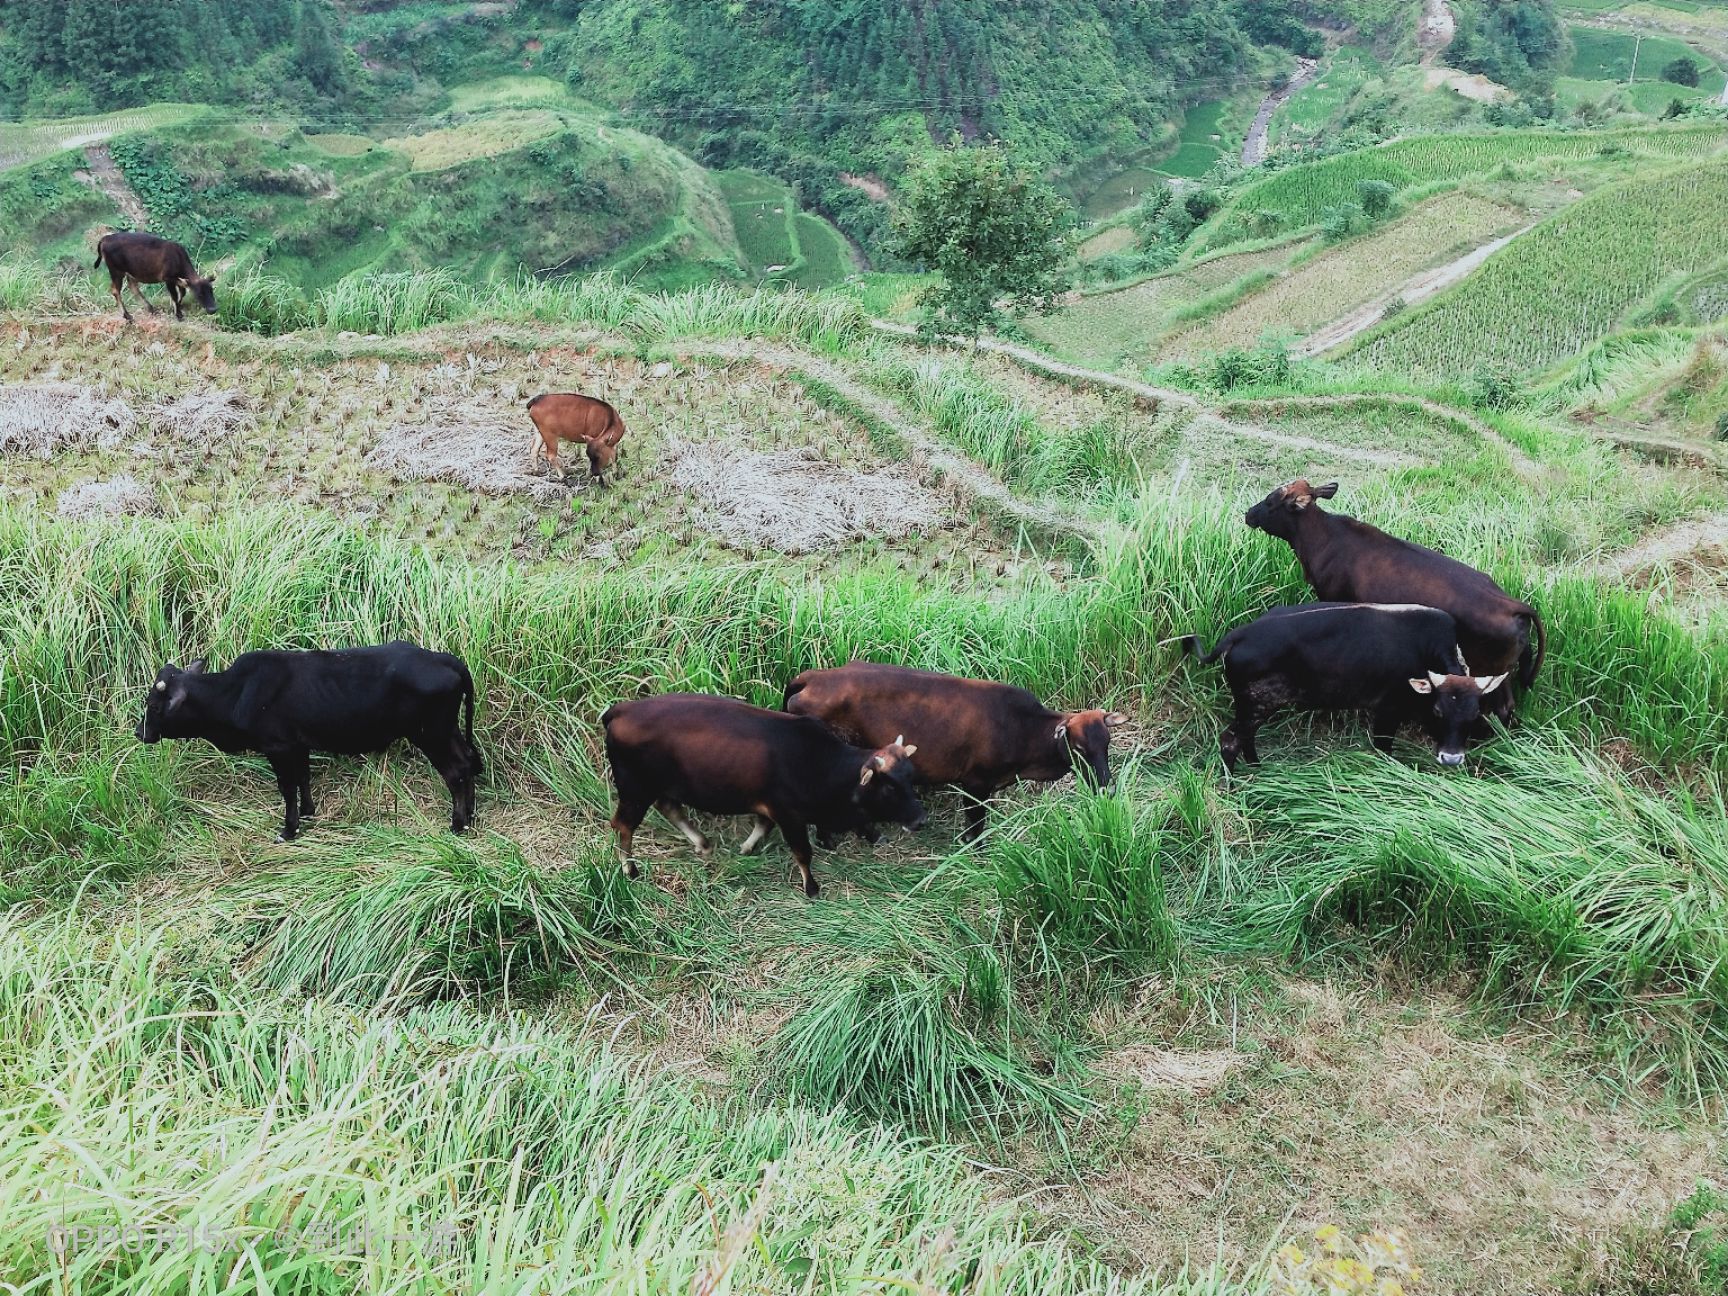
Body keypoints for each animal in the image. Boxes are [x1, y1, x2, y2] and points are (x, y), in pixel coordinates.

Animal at [132, 642, 487, 843]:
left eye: (154, 706)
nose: (139, 732)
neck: (236, 692)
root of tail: (446, 659)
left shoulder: (277, 748)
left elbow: (287, 787)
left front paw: (288, 829)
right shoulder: (298, 746)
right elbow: (303, 778)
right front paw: (307, 813)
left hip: (431, 734)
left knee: (456, 771)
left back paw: (457, 825)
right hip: (448, 731)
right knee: (470, 762)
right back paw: (470, 816)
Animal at [608, 694, 933, 898]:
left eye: (911, 777)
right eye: (889, 786)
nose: (920, 820)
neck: (819, 763)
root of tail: (621, 709)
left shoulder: (770, 807)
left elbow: (762, 827)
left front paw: (746, 848)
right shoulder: (789, 815)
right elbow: (802, 852)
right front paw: (811, 888)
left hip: (659, 787)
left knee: (670, 807)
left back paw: (702, 843)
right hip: (634, 790)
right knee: (623, 825)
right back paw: (630, 869)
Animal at [784, 663, 1133, 846]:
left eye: (1107, 744)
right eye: (1079, 749)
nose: (1107, 788)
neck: (1022, 728)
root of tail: (813, 676)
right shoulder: (975, 782)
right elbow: (976, 826)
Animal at [1181, 601, 1506, 770]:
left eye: (1475, 713)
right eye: (1438, 710)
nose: (1451, 758)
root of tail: (1239, 634)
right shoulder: (1388, 710)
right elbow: (1384, 748)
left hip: (1257, 706)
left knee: (1246, 738)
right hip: (1254, 704)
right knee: (1229, 741)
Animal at [1244, 476, 1555, 722]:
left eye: (1271, 501)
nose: (1248, 514)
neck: (1322, 539)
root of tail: (1514, 605)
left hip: (1489, 672)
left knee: (1502, 708)